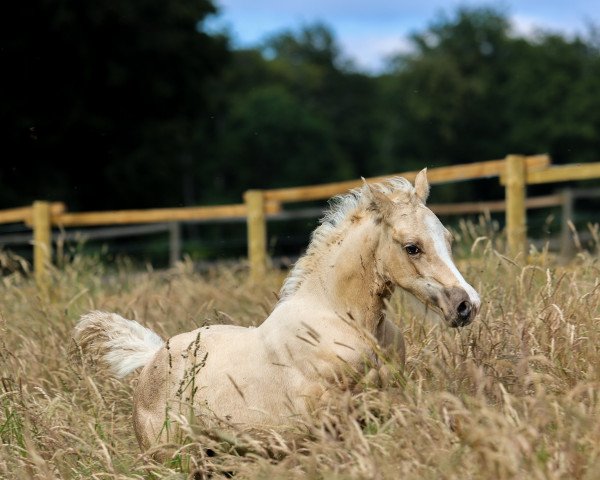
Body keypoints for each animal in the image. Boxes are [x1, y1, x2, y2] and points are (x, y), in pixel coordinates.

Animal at [72, 171, 480, 452]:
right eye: (412, 247)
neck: (345, 322)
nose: (466, 305)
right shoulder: (327, 423)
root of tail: (153, 357)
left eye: (448, 239)